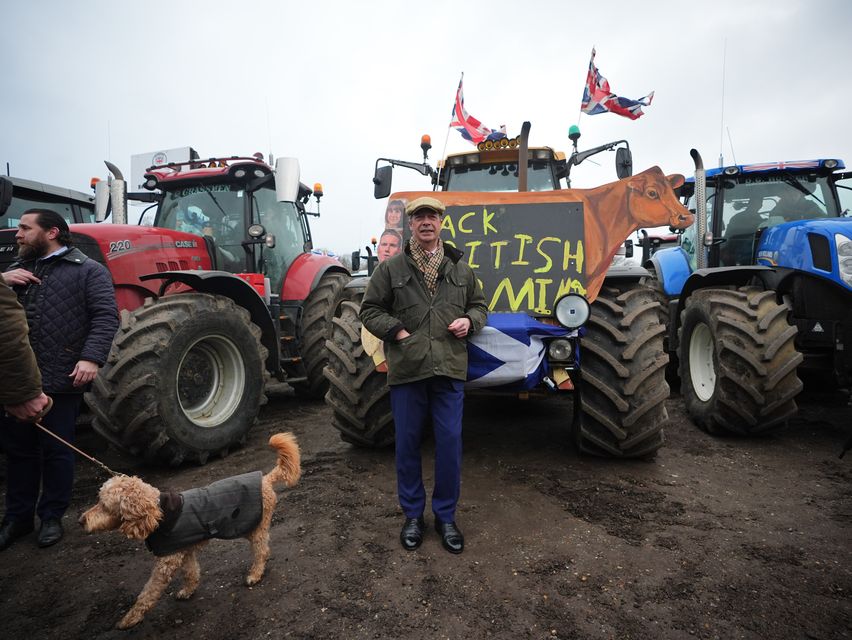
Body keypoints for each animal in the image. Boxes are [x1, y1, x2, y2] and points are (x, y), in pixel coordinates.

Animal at [76, 432, 302, 628]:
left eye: (105, 505)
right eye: (98, 501)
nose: (80, 521)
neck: (158, 512)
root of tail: (265, 479)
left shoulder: (165, 564)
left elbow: (148, 593)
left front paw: (130, 618)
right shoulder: (184, 551)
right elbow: (191, 572)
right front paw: (187, 591)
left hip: (255, 528)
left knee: (261, 551)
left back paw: (255, 574)